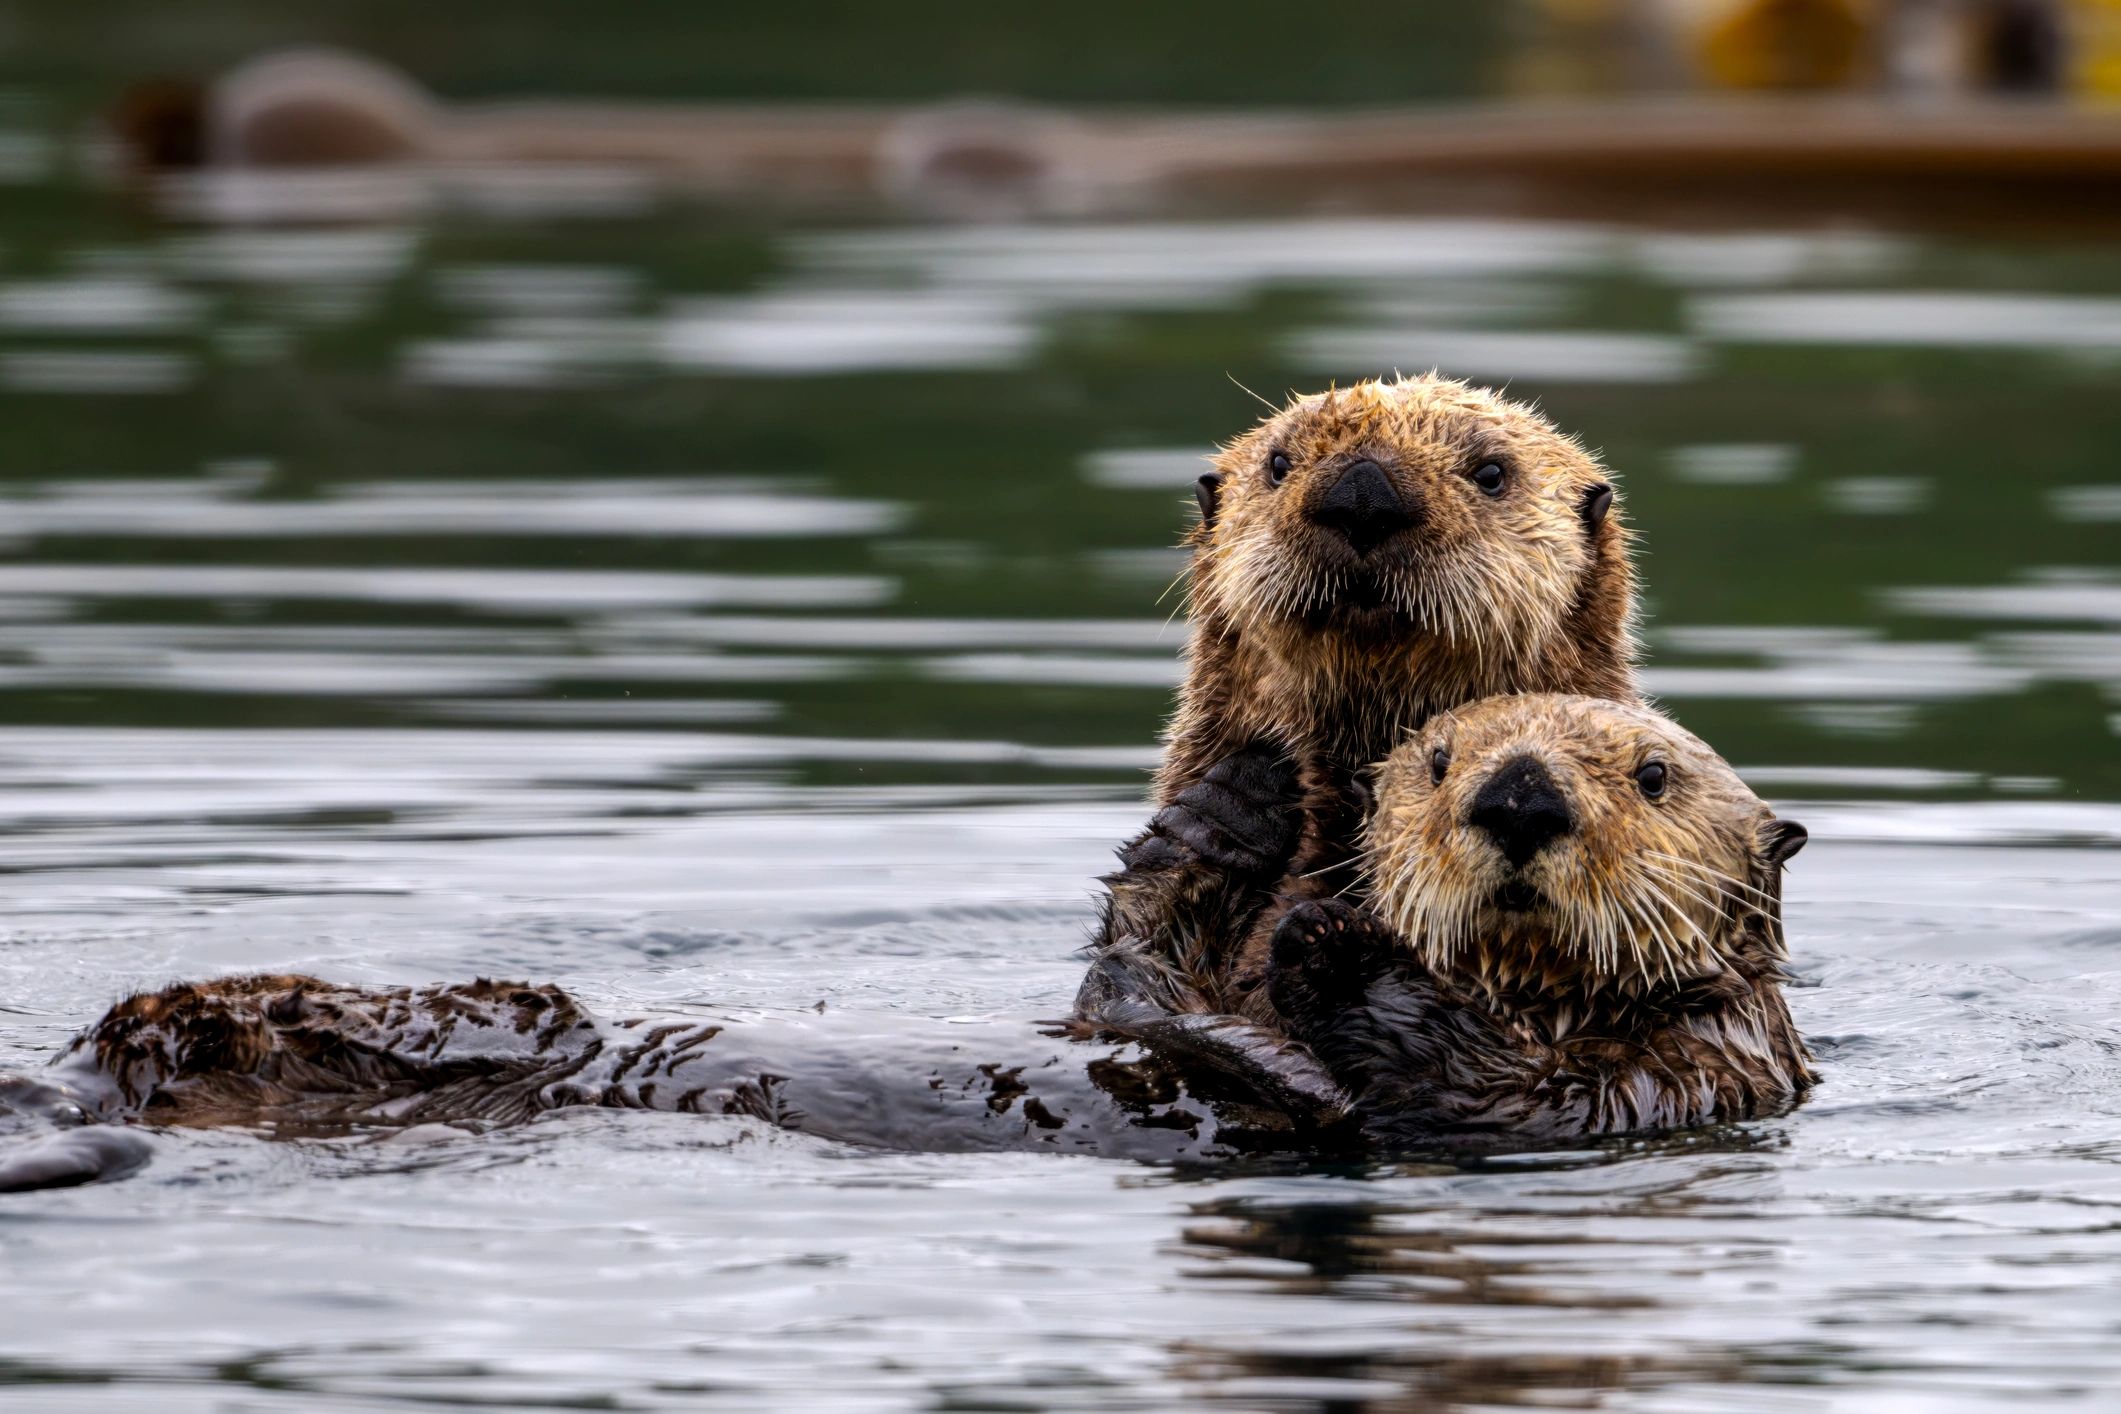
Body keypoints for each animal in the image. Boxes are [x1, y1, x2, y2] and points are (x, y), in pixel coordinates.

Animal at [1266, 693, 1813, 1144]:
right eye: (1439, 762)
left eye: (1654, 776)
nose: (1519, 801)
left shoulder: (1707, 1065)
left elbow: (1532, 1101)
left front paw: (1335, 948)